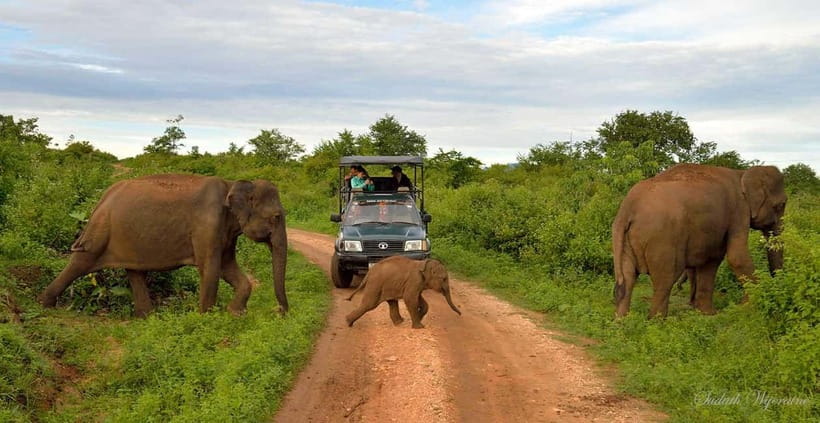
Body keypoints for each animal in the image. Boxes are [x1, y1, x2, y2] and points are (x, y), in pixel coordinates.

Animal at [38, 174, 289, 317]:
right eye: (277, 217)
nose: (280, 313)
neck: (232, 184)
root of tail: (103, 197)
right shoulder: (207, 225)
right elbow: (210, 268)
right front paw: (206, 319)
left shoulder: (225, 231)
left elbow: (228, 268)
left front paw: (235, 314)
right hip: (101, 231)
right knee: (81, 262)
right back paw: (44, 305)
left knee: (135, 272)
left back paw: (146, 317)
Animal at [612, 164, 786, 317]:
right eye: (780, 205)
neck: (742, 173)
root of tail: (627, 209)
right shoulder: (738, 211)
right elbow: (736, 257)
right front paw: (746, 306)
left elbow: (709, 260)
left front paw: (707, 314)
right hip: (662, 240)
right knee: (666, 279)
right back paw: (657, 322)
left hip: (625, 239)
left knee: (628, 278)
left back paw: (621, 322)